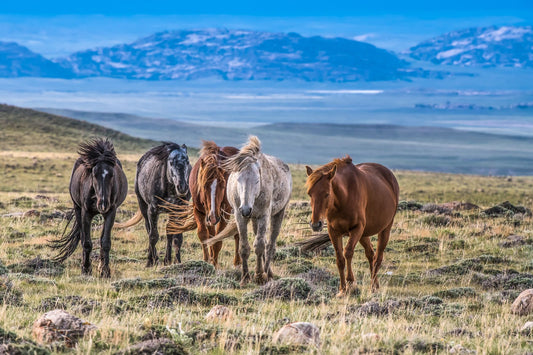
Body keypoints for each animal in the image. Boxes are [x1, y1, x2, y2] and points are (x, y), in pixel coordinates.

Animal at [50, 139, 128, 278]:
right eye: (94, 173)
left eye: (112, 174)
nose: (103, 204)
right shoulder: (86, 213)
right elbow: (86, 242)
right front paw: (86, 269)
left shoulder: (111, 212)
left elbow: (105, 242)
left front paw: (105, 271)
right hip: (78, 209)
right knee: (82, 236)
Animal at [206, 136, 294, 286]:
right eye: (238, 179)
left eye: (258, 180)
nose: (246, 209)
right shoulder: (240, 217)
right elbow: (244, 248)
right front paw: (245, 277)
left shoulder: (264, 216)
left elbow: (259, 246)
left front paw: (259, 276)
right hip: (254, 219)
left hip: (278, 213)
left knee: (270, 245)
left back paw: (268, 273)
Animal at [302, 157, 396, 296]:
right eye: (309, 194)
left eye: (327, 194)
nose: (315, 224)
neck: (344, 198)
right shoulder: (333, 231)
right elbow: (340, 258)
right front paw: (342, 289)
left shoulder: (356, 229)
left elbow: (348, 252)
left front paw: (350, 282)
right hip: (364, 234)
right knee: (370, 254)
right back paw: (376, 285)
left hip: (385, 229)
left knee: (378, 257)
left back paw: (373, 287)